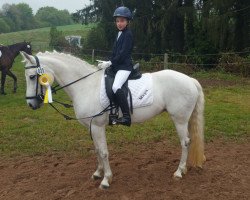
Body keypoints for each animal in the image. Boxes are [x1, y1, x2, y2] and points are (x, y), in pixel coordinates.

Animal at [21, 50, 205, 188]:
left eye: (32, 77)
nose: (31, 104)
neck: (86, 86)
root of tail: (190, 79)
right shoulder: (92, 127)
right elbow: (96, 150)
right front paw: (98, 173)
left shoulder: (97, 126)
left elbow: (103, 152)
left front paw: (106, 180)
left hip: (179, 119)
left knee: (185, 142)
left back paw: (179, 172)